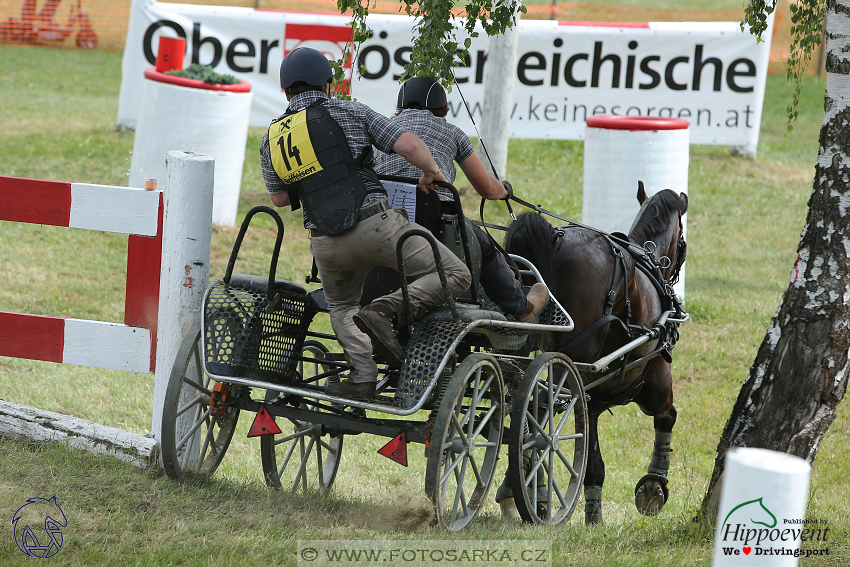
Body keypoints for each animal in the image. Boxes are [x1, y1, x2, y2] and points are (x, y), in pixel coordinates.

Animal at [500, 184, 684, 524]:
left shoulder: (593, 397)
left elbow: (593, 460)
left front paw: (592, 509)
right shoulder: (653, 375)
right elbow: (667, 415)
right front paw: (654, 484)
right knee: (540, 412)